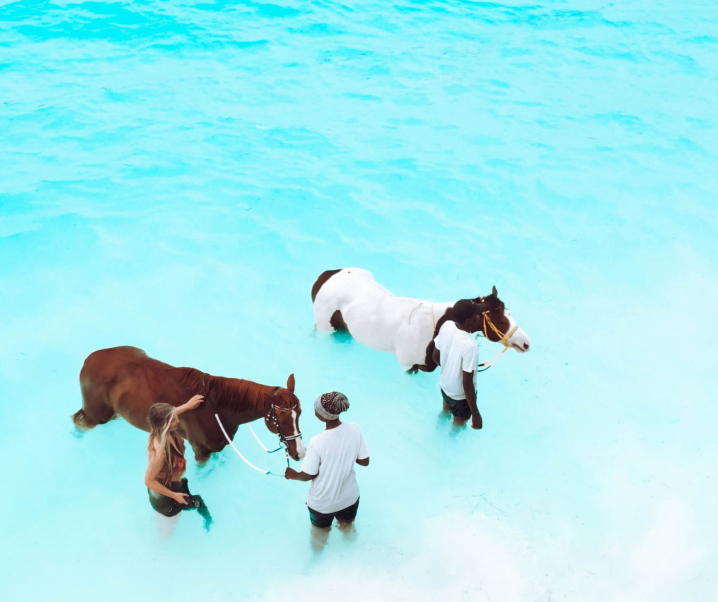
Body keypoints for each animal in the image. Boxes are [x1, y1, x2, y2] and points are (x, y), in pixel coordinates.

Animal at [74, 344, 306, 462]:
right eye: (282, 418)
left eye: (300, 414)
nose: (300, 453)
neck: (215, 408)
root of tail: (88, 359)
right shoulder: (200, 451)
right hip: (95, 415)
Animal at [312, 268, 532, 370]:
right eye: (501, 321)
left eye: (509, 314)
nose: (526, 343)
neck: (434, 328)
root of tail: (326, 275)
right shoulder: (408, 366)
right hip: (325, 328)